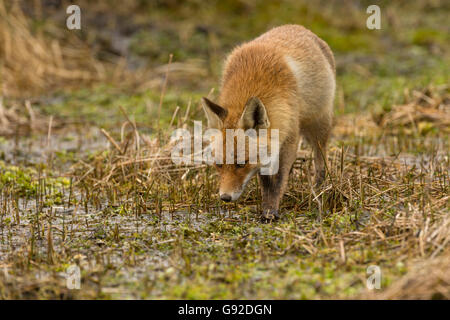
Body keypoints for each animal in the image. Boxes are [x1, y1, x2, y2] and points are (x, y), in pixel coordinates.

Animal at [200, 24, 334, 220]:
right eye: (218, 164)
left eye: (241, 164)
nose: (225, 197)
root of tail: (297, 27)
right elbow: (266, 182)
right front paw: (268, 207)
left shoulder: (289, 138)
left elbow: (277, 182)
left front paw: (271, 211)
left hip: (319, 124)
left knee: (320, 158)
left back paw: (319, 188)